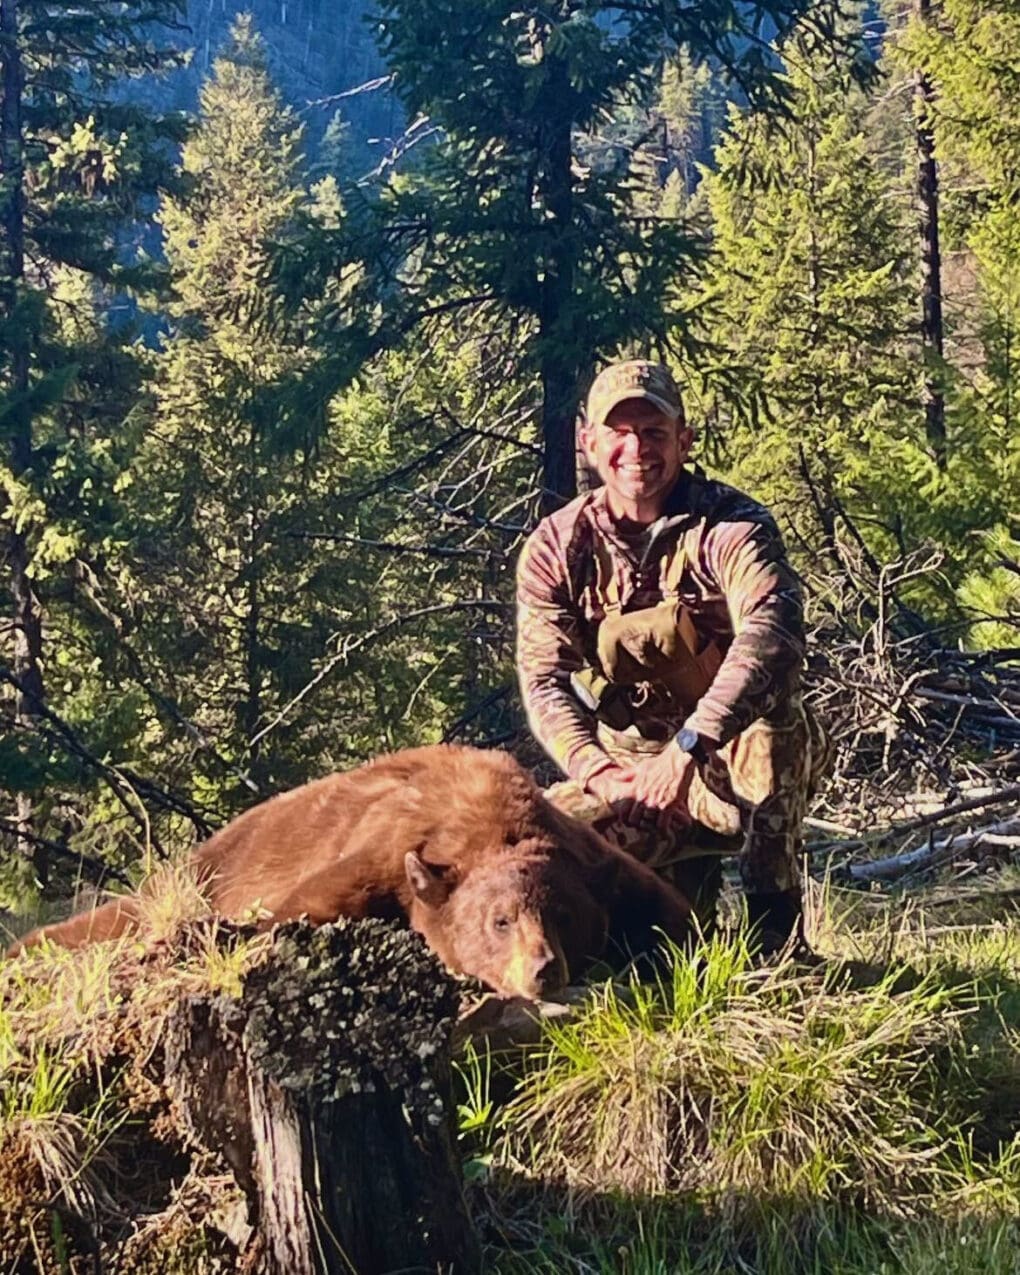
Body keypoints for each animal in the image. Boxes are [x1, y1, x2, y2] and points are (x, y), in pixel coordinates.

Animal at [6, 744, 693, 998]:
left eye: (564, 914)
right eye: (500, 921)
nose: (543, 969)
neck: (486, 820)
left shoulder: (592, 855)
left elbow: (668, 910)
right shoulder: (385, 849)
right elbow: (302, 905)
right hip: (210, 866)